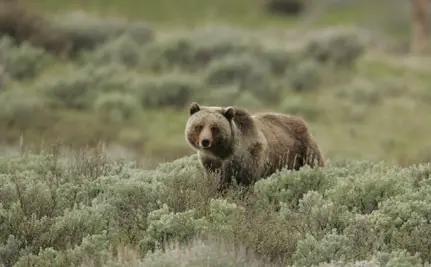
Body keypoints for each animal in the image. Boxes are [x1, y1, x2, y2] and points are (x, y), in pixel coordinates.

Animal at [184, 101, 326, 192]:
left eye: (214, 127)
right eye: (199, 126)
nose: (205, 141)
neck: (224, 152)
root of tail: (303, 122)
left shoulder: (248, 157)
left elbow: (246, 182)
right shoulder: (211, 163)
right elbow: (217, 181)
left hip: (304, 151)